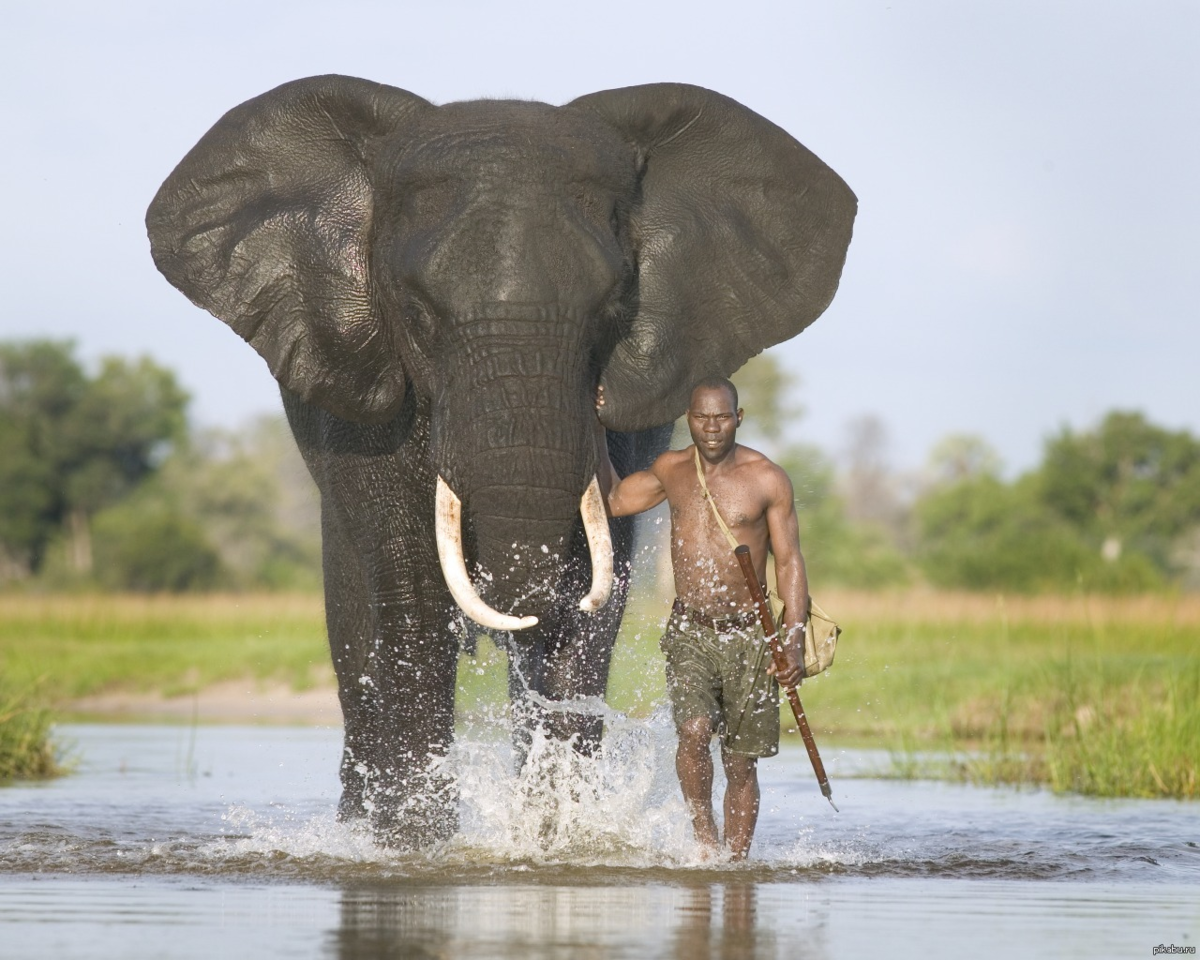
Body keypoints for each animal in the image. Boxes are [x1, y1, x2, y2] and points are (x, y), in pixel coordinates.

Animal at [147, 75, 854, 844]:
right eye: (417, 312)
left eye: (612, 306)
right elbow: (410, 596)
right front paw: (417, 846)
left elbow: (590, 597)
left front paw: (558, 842)